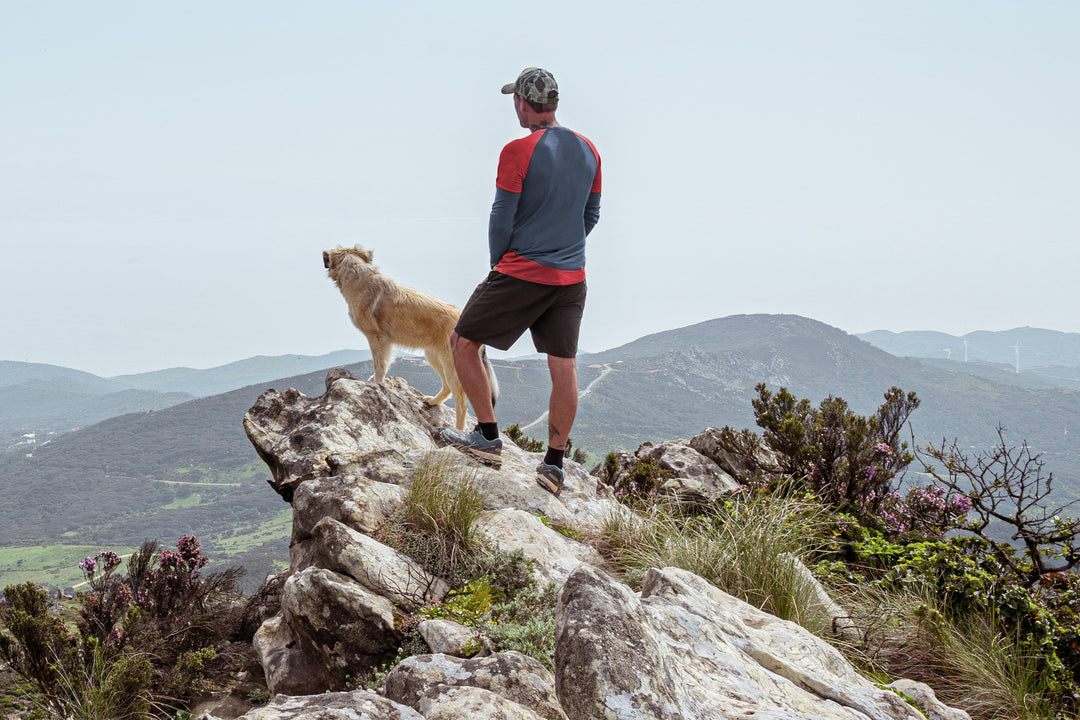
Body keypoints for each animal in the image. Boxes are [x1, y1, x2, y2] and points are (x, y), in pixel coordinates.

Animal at [321, 245, 494, 431]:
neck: (356, 273)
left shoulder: (377, 339)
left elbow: (379, 365)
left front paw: (377, 385)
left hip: (452, 364)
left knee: (461, 402)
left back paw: (459, 430)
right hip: (434, 356)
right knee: (447, 387)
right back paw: (433, 401)